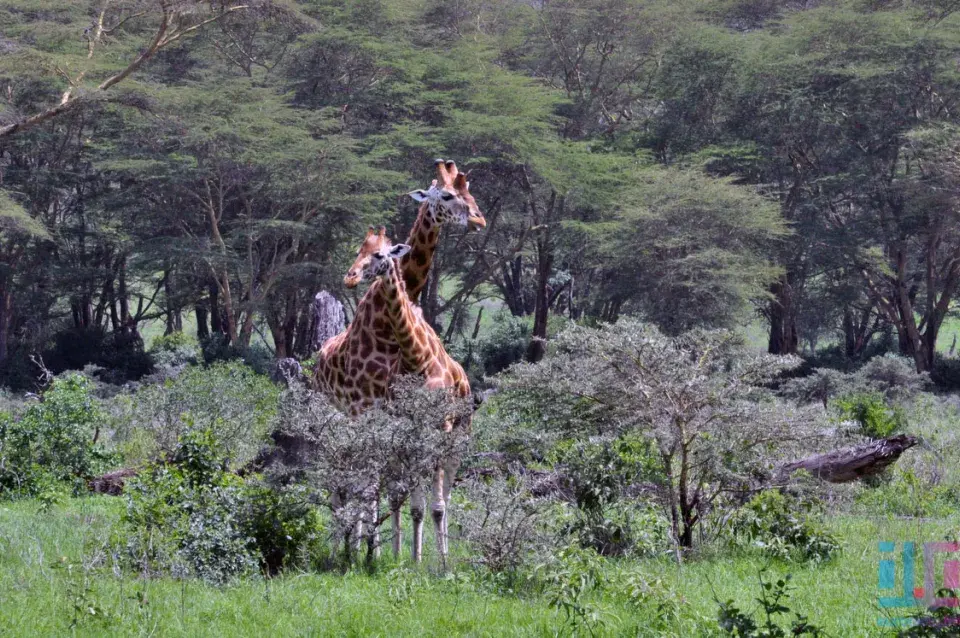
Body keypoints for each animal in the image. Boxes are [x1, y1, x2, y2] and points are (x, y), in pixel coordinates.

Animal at [360, 242, 472, 564]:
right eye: (362, 251)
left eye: (379, 255)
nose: (357, 274)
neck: (416, 359)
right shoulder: (405, 428)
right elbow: (409, 502)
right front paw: (408, 557)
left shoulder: (440, 427)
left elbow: (437, 506)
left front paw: (443, 564)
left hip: (459, 436)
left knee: (447, 494)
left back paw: (445, 550)